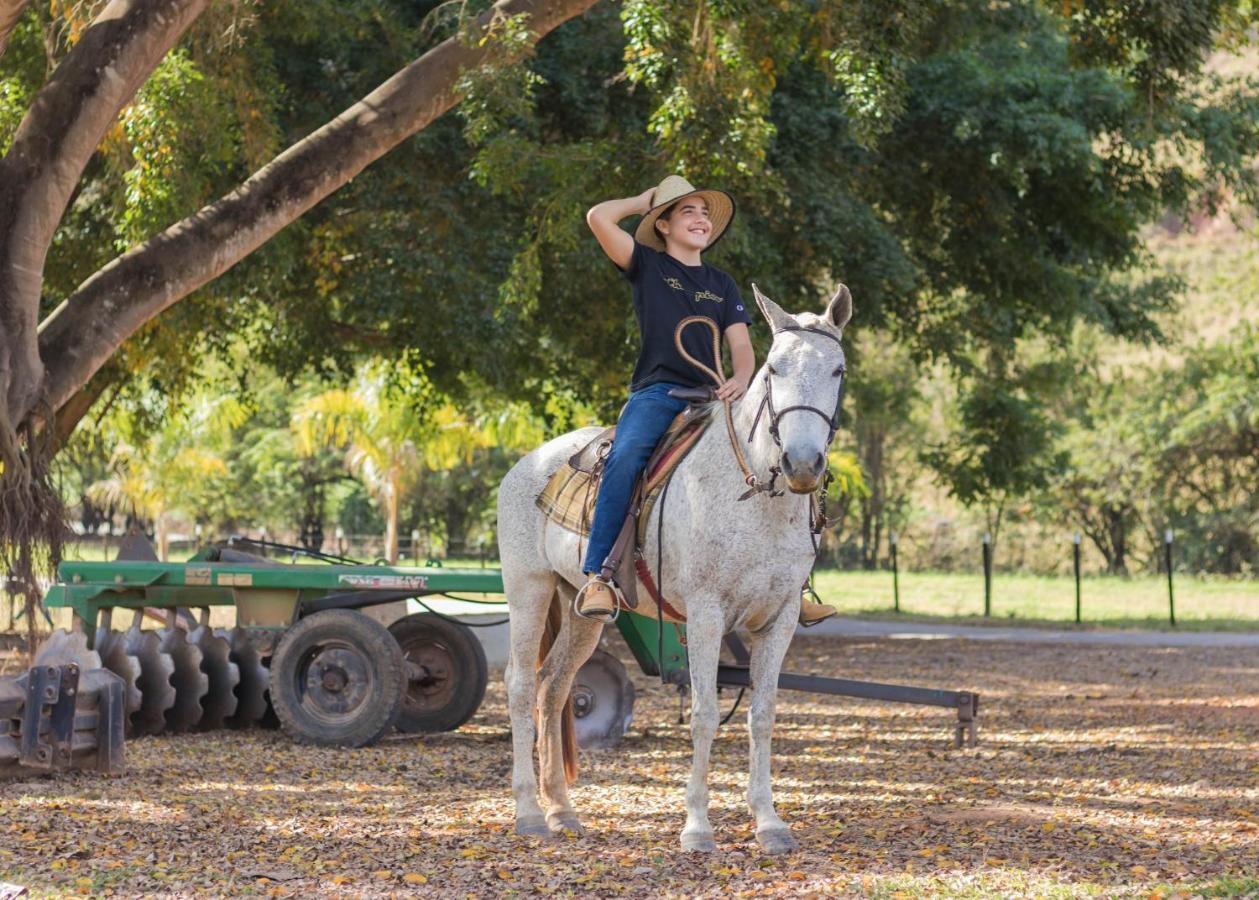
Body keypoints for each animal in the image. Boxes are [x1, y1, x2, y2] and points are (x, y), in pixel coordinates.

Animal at [496, 285, 851, 855]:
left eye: (837, 370)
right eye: (773, 369)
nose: (801, 464)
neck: (755, 497)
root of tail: (526, 464)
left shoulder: (780, 620)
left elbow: (763, 715)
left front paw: (769, 823)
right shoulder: (706, 616)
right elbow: (705, 714)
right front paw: (697, 827)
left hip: (582, 611)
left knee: (554, 687)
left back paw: (562, 811)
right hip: (528, 589)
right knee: (521, 685)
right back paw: (529, 812)